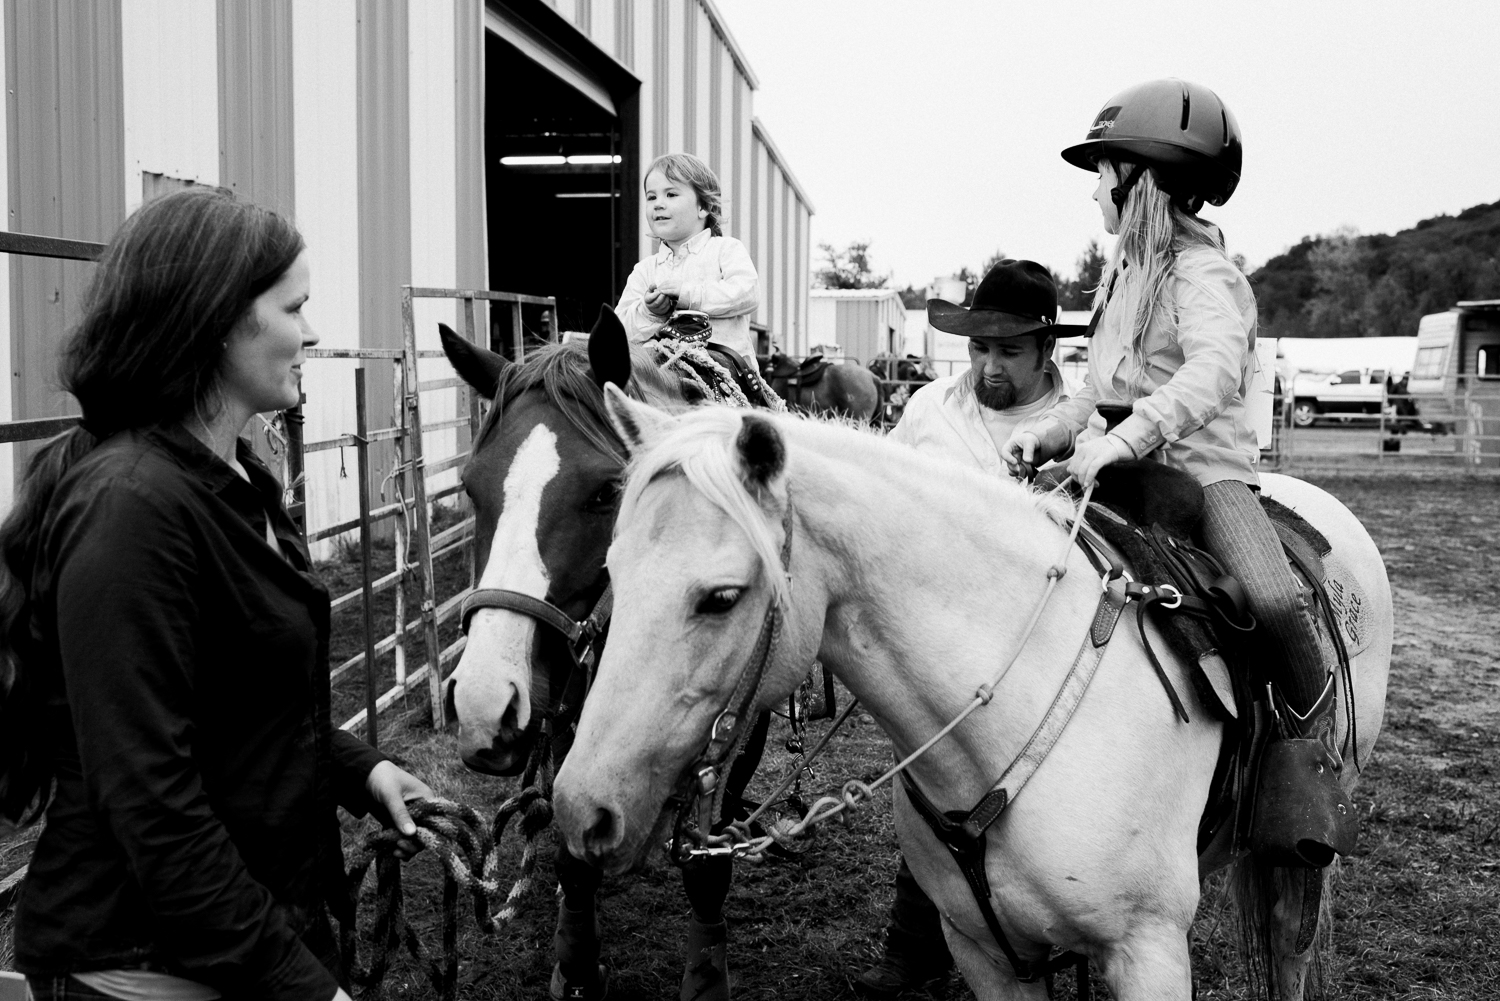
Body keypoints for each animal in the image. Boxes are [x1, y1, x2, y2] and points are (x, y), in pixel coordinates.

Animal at [555, 393, 1392, 1001]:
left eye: (721, 596)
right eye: (612, 571)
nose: (579, 808)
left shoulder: (1149, 950)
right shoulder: (988, 952)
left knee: (1293, 938)